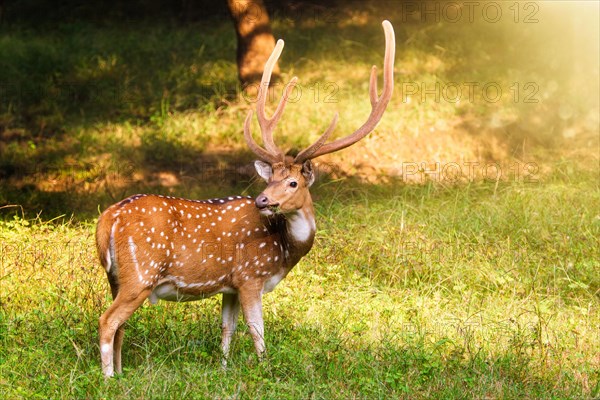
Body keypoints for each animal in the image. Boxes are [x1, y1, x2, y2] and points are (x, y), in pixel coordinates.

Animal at [96, 19, 396, 376]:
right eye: (270, 179)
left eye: (292, 182)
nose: (262, 200)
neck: (283, 250)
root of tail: (106, 221)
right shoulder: (252, 275)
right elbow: (257, 330)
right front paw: (265, 370)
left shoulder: (231, 284)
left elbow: (228, 327)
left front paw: (224, 369)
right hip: (140, 274)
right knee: (107, 321)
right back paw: (108, 378)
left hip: (116, 277)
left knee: (119, 325)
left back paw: (121, 373)